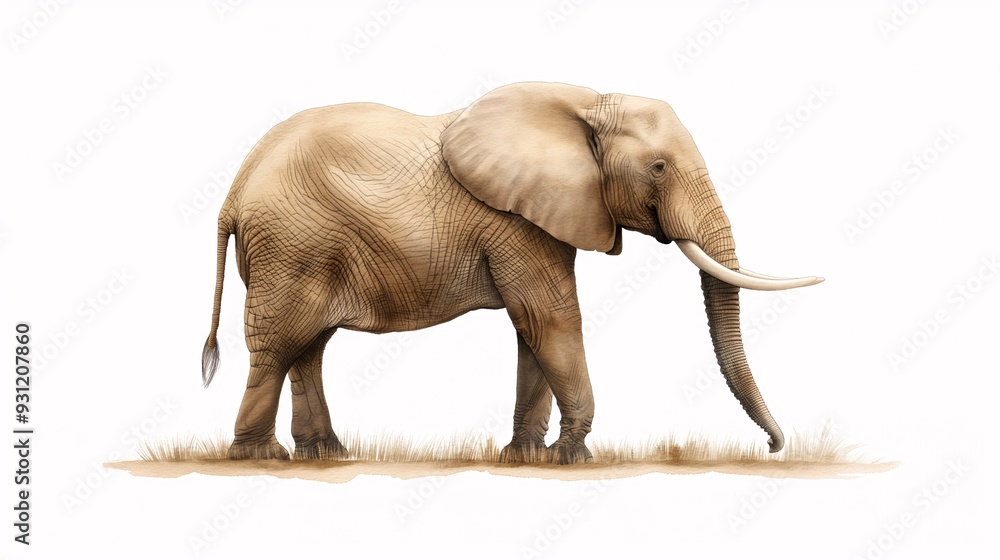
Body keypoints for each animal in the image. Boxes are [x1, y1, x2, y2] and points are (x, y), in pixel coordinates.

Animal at [201, 81, 822, 463]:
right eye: (659, 167)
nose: (774, 447)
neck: (588, 102)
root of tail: (233, 190)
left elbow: (532, 329)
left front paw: (527, 457)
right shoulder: (515, 220)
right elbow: (551, 318)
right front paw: (573, 458)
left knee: (310, 345)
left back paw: (326, 453)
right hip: (291, 245)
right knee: (278, 344)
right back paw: (262, 457)